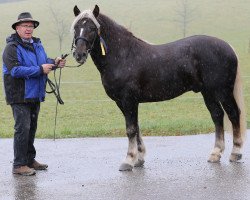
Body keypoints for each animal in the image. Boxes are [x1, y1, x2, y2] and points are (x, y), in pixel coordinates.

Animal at [70, 4, 246, 170]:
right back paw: (215, 153)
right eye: (76, 27)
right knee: (217, 115)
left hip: (223, 92)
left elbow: (131, 129)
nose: (79, 54)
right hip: (208, 93)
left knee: (233, 114)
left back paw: (236, 153)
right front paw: (139, 159)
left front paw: (128, 160)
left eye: (92, 28)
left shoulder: (128, 101)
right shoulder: (122, 103)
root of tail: (227, 46)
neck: (123, 55)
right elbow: (136, 128)